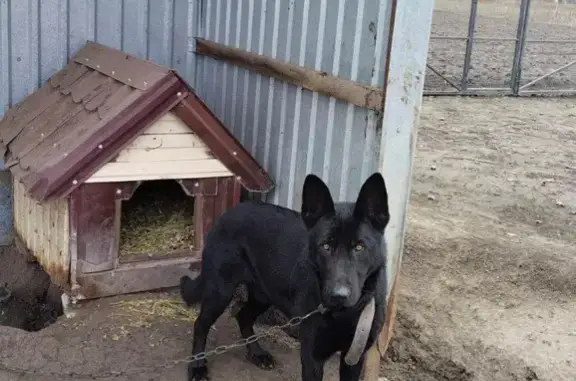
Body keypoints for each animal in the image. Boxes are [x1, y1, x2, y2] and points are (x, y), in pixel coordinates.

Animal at [179, 173, 388, 380]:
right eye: (325, 246)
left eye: (359, 247)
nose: (338, 296)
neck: (343, 314)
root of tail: (229, 212)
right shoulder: (312, 355)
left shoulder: (354, 358)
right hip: (221, 291)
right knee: (201, 324)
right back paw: (197, 367)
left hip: (263, 294)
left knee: (243, 316)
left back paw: (257, 354)